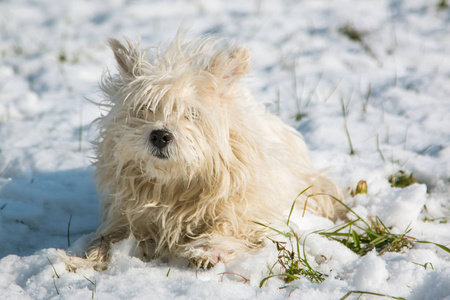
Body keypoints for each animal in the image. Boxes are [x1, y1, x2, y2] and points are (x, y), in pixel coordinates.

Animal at [80, 34, 342, 270]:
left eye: (192, 113)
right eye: (145, 108)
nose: (160, 136)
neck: (174, 184)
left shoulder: (247, 208)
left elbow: (229, 227)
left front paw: (207, 251)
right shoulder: (125, 213)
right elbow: (108, 237)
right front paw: (89, 258)